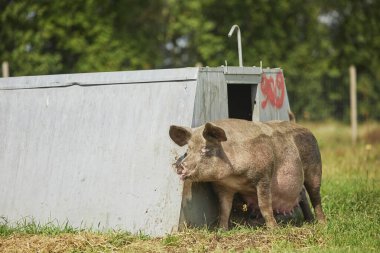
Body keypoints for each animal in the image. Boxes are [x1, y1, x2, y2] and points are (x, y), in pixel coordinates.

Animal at [170, 118, 326, 229]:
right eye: (188, 150)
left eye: (206, 149)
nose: (180, 166)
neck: (233, 176)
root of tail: (307, 129)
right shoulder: (223, 187)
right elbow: (224, 209)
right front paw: (221, 230)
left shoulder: (264, 177)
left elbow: (264, 205)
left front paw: (274, 230)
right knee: (303, 195)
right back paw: (309, 221)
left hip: (315, 168)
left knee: (315, 196)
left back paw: (321, 223)